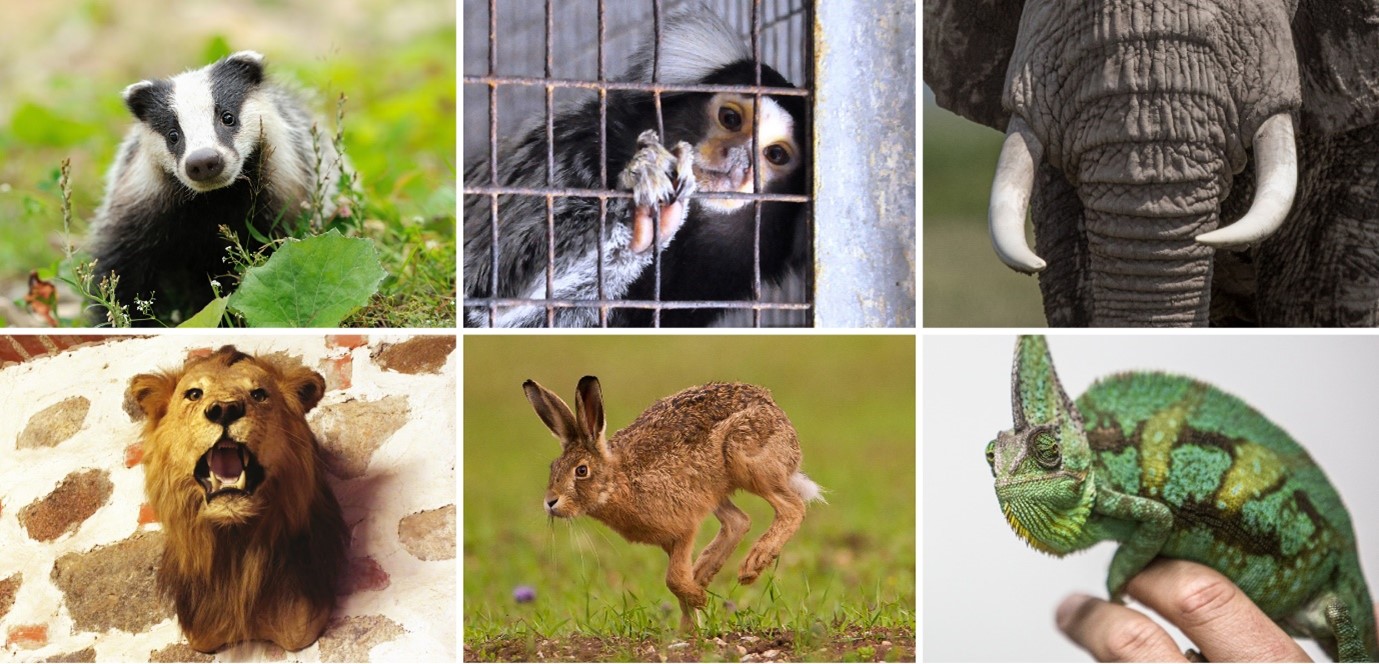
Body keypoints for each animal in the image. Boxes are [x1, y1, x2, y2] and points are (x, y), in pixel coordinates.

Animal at [463, 5, 805, 326]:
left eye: (776, 155)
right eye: (730, 118)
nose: (736, 161)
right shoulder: (568, 155)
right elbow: (490, 294)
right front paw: (639, 223)